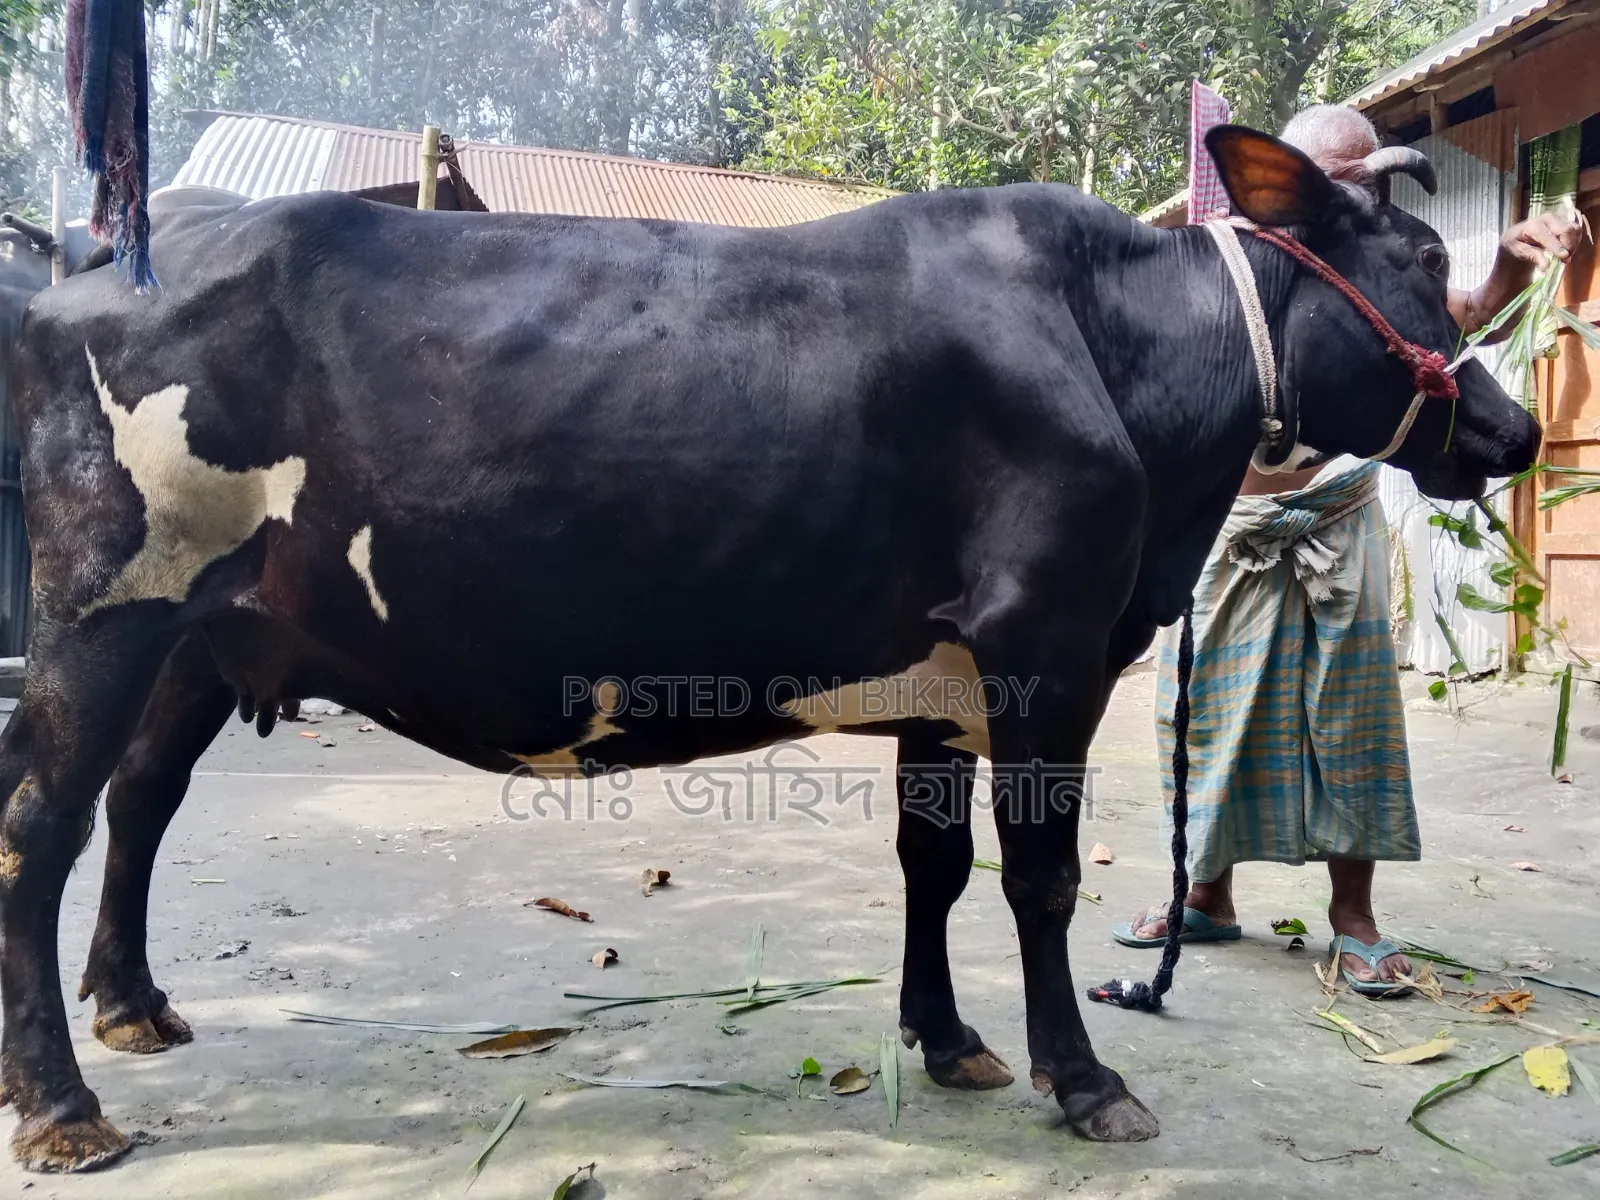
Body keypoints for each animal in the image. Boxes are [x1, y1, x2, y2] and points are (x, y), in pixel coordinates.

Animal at [0, 126, 1538, 1172]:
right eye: (1420, 265)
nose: (1515, 430)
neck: (1119, 350)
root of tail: (106, 253)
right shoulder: (1047, 645)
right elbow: (1037, 880)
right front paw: (1086, 1081)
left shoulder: (947, 681)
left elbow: (934, 866)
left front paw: (950, 1041)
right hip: (101, 611)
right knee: (41, 827)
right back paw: (64, 1105)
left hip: (205, 634)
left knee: (138, 803)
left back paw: (134, 1007)